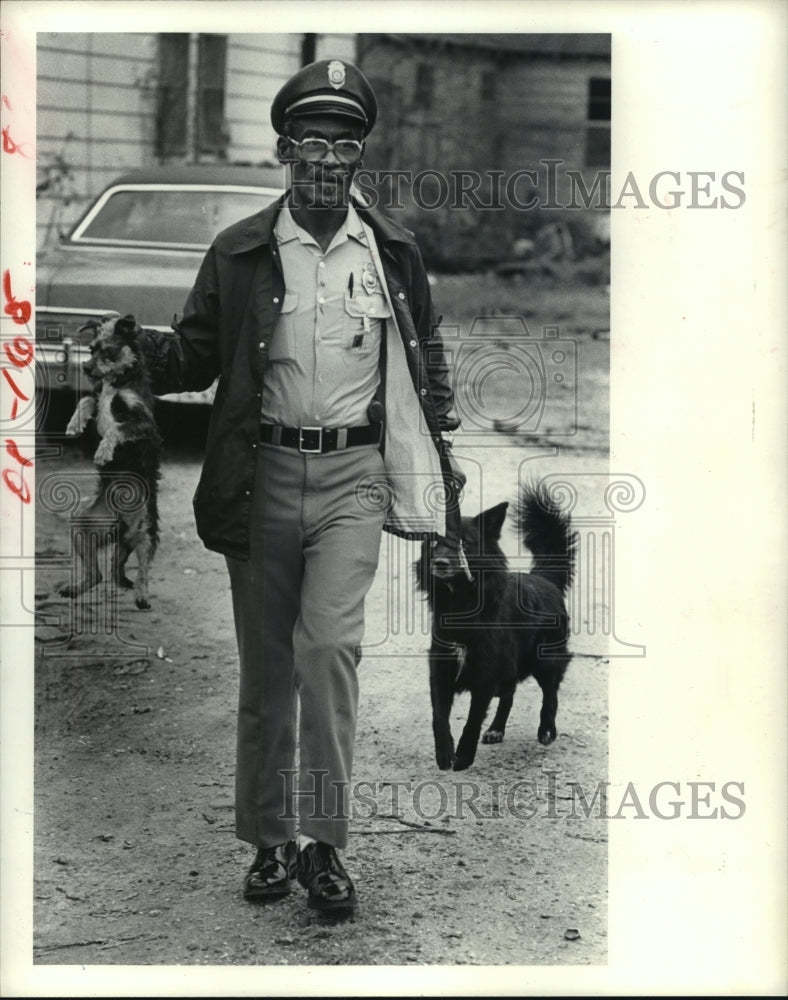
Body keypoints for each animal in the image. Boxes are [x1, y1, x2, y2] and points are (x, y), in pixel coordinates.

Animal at [60, 312, 163, 608]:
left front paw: (104, 452)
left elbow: (116, 428)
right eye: (91, 349)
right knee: (102, 573)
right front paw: (74, 424)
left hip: (147, 532)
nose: (85, 368)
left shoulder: (144, 422)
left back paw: (141, 596)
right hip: (85, 527)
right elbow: (86, 400)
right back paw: (75, 589)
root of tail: (123, 528)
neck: (115, 382)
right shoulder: (98, 397)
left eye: (109, 351)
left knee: (142, 571)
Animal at [416, 484, 576, 772]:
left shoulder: (486, 672)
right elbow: (439, 715)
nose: (439, 564)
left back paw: (547, 729)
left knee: (551, 692)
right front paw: (444, 753)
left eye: (464, 544)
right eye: (434, 544)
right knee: (510, 693)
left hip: (545, 659)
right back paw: (496, 729)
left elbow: (472, 719)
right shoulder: (441, 668)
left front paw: (464, 756)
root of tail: (544, 579)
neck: (462, 605)